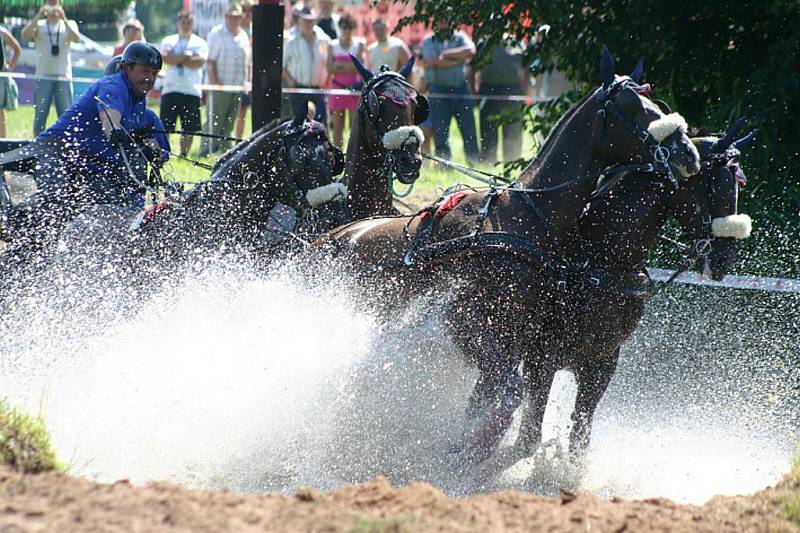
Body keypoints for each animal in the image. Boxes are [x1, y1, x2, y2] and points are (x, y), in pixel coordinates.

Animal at [512, 120, 756, 462]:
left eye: (739, 185)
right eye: (712, 184)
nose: (723, 259)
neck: (599, 259)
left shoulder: (602, 362)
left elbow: (580, 435)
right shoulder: (541, 358)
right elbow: (528, 433)